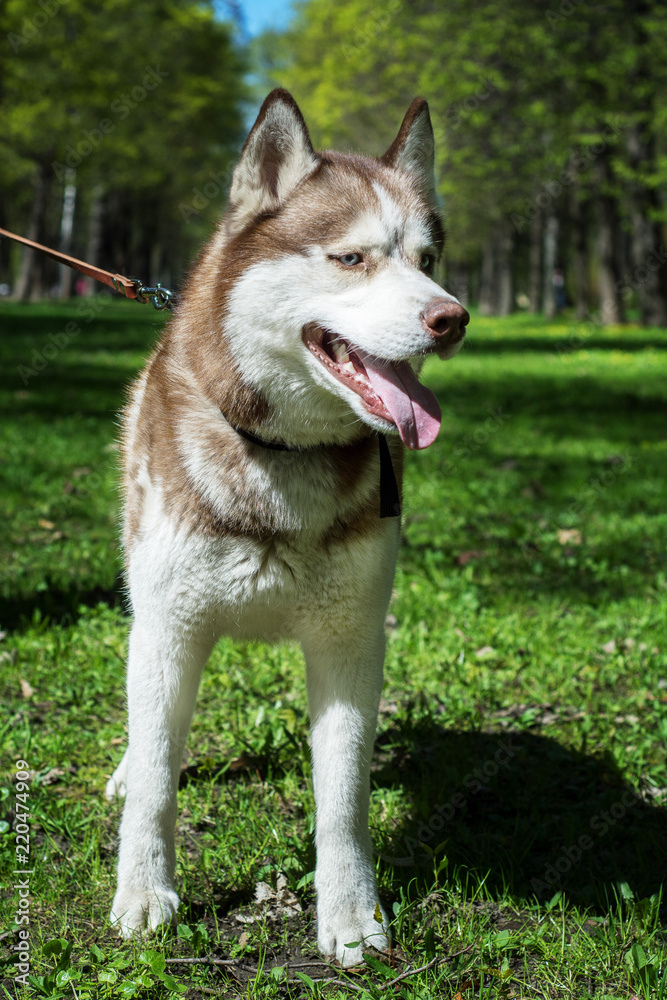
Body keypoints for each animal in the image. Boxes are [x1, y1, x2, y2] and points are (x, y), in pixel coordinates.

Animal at [107, 90, 468, 964]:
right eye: (351, 258)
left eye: (427, 259)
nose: (453, 318)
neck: (282, 458)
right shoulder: (168, 626)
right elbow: (158, 778)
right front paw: (144, 891)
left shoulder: (350, 639)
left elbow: (342, 800)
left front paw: (349, 914)